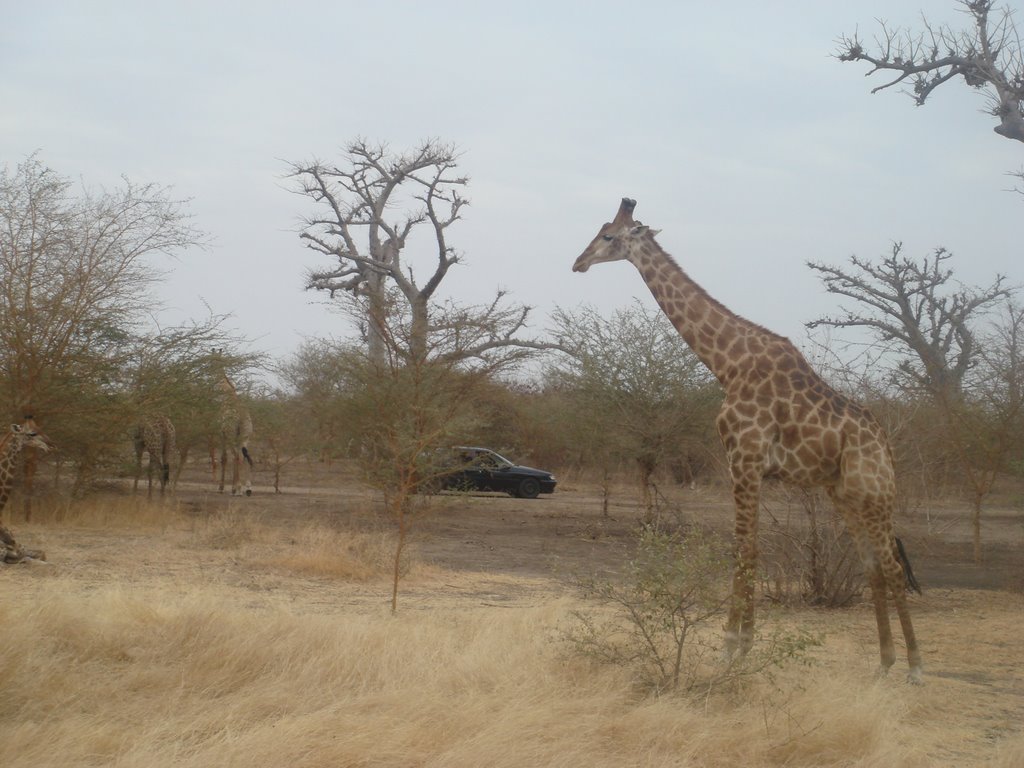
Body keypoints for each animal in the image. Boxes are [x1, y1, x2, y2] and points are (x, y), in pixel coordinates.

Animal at [573, 199, 925, 684]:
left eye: (609, 236)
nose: (578, 262)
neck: (728, 363)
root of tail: (886, 447)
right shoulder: (744, 462)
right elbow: (748, 547)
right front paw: (744, 645)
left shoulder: (744, 457)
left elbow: (744, 546)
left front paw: (731, 647)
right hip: (845, 495)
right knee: (873, 567)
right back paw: (884, 662)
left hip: (873, 495)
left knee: (891, 567)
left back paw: (915, 668)